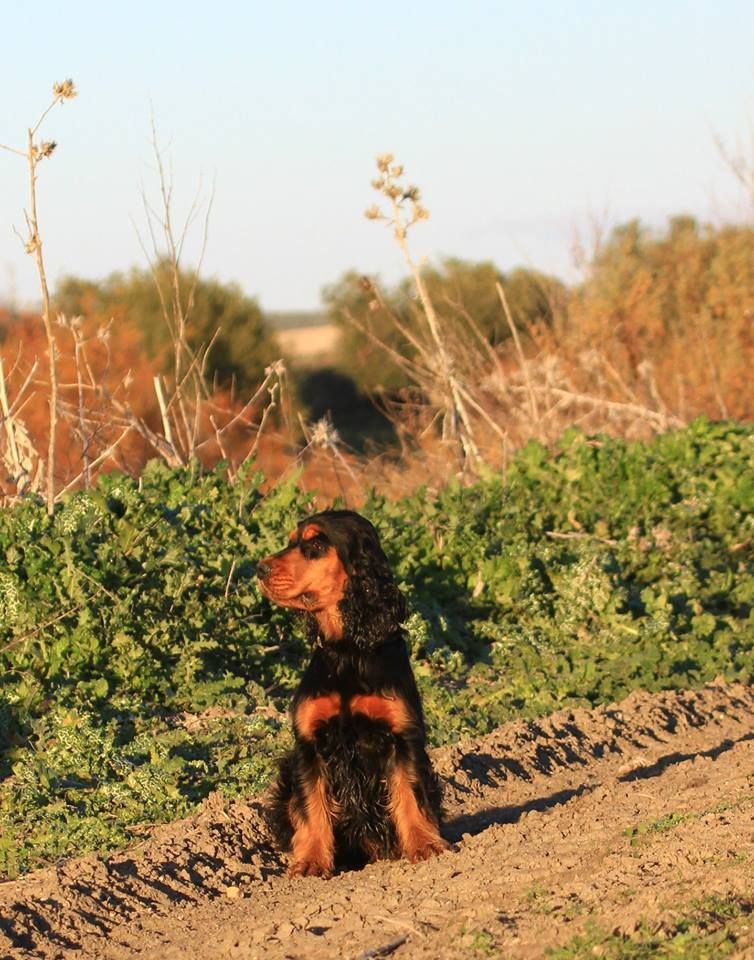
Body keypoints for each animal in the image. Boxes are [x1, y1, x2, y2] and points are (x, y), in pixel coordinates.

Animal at [256, 510, 444, 876]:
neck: (348, 650)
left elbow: (410, 793)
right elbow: (312, 806)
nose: (259, 569)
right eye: (290, 541)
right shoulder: (310, 744)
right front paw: (311, 861)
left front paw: (424, 845)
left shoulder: (402, 737)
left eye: (315, 545)